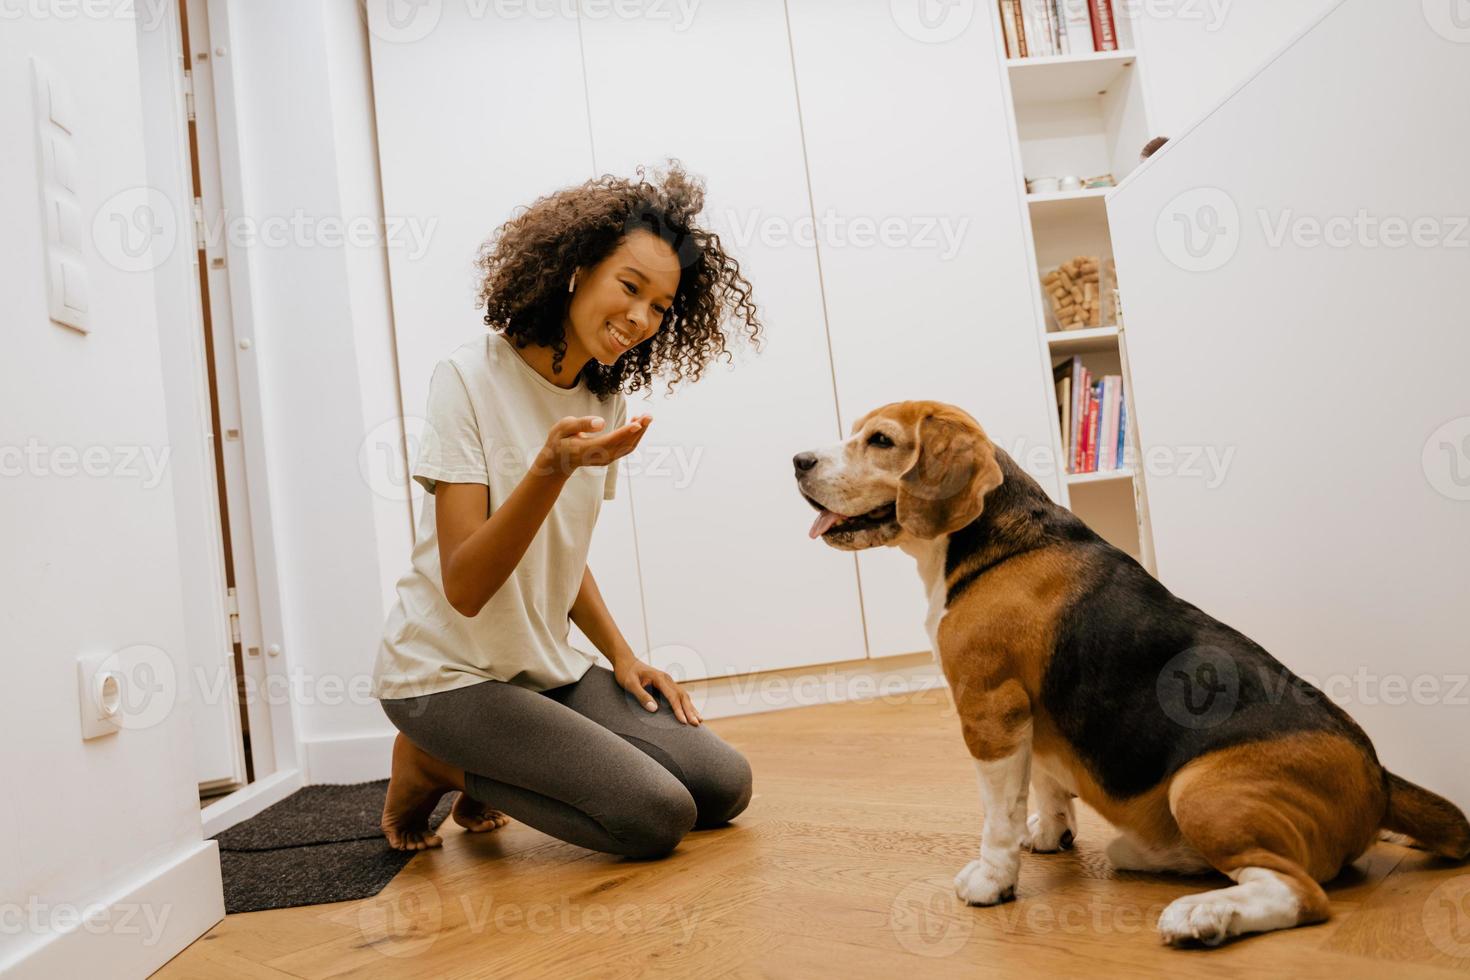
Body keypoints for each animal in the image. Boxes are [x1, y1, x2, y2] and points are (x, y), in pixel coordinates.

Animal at [799, 402, 1464, 946]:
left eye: (880, 440)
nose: (798, 460)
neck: (994, 540)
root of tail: (1380, 779)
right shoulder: (1030, 718)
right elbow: (1046, 782)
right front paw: (1050, 834)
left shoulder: (989, 710)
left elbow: (998, 816)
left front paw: (993, 879)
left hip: (1199, 788)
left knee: (1300, 892)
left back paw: (1204, 914)